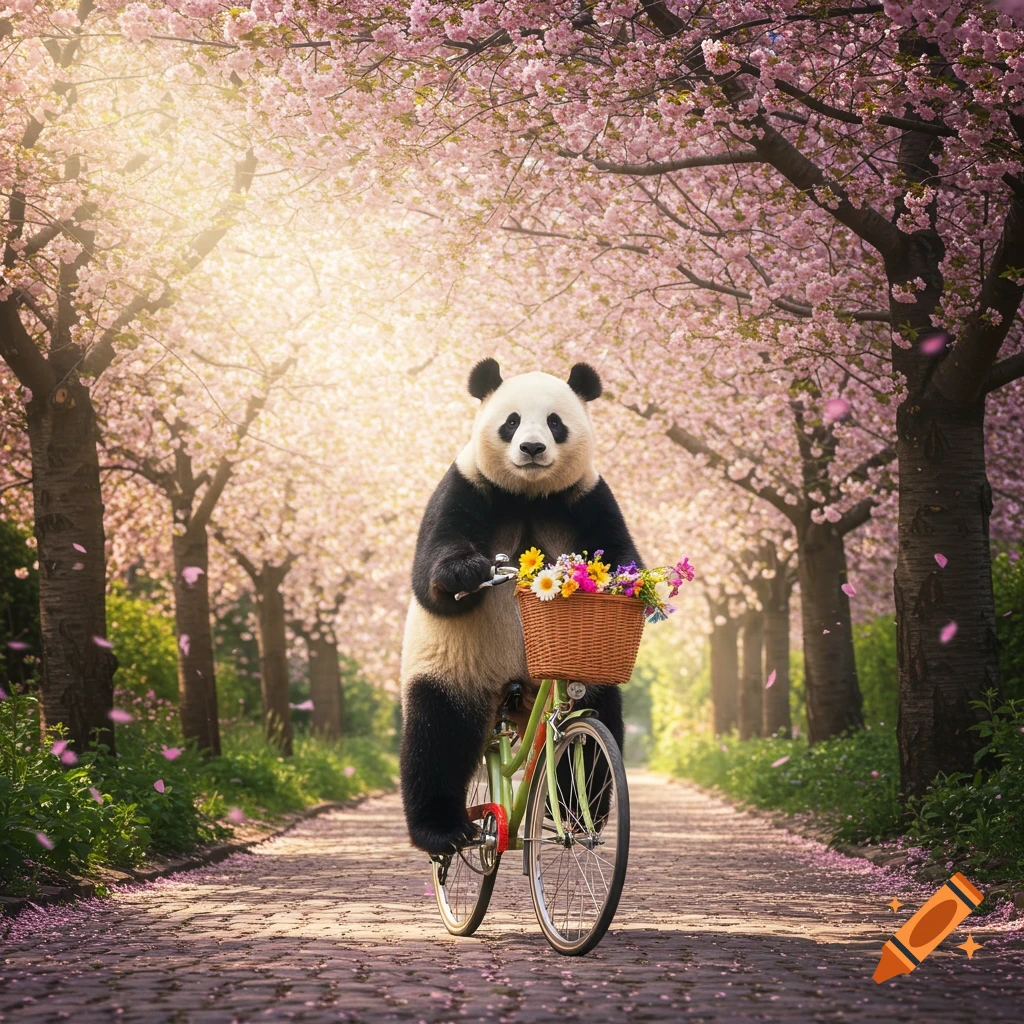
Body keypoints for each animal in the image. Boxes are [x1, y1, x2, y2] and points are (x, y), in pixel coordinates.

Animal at [399, 357, 641, 855]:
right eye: (510, 422)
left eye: (555, 422)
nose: (531, 447)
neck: (528, 495)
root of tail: (514, 694)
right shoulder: (465, 485)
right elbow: (431, 571)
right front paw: (465, 572)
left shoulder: (587, 497)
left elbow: (619, 552)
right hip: (456, 667)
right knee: (437, 733)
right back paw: (442, 829)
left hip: (586, 684)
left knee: (595, 733)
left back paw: (577, 813)